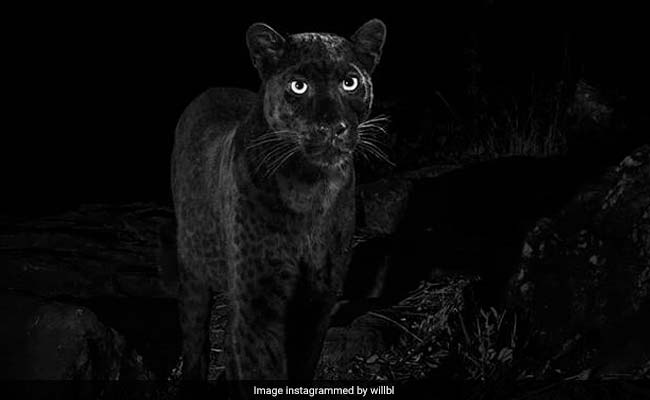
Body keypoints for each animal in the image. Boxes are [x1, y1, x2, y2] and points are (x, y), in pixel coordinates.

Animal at [171, 19, 387, 391]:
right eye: (298, 86)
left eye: (350, 82)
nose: (331, 127)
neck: (310, 189)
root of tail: (212, 88)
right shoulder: (258, 299)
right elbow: (263, 368)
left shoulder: (319, 296)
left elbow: (300, 365)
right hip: (194, 273)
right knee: (196, 338)